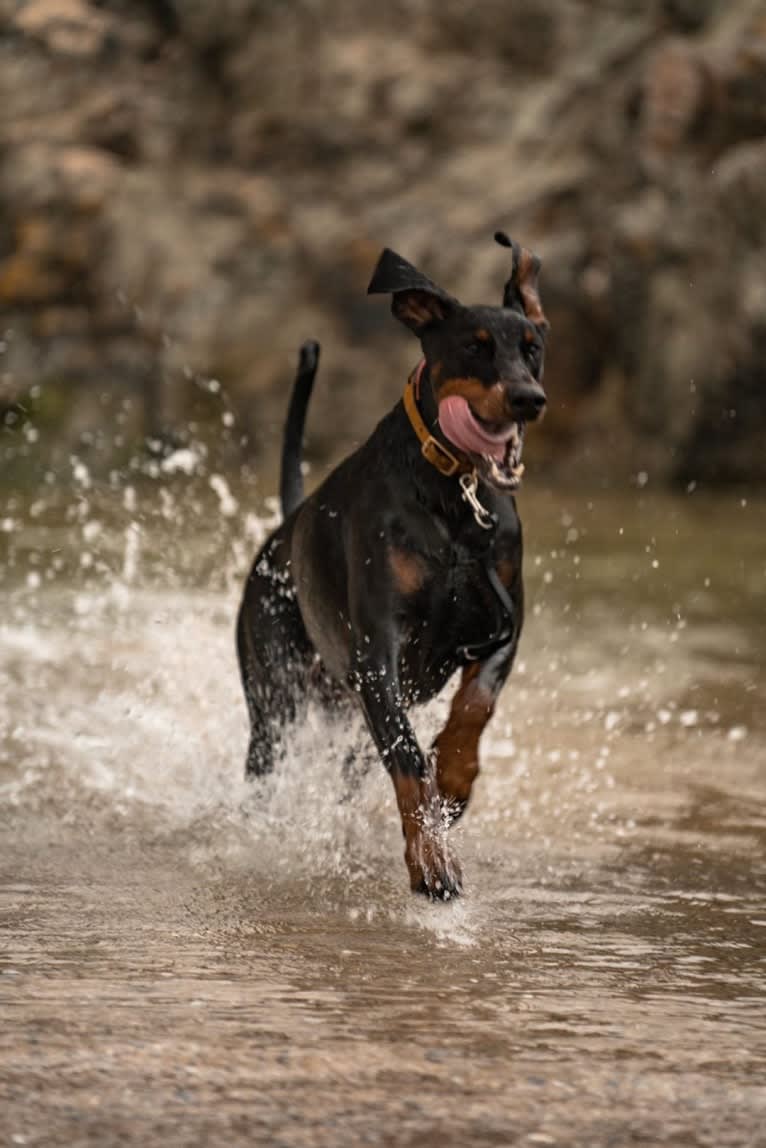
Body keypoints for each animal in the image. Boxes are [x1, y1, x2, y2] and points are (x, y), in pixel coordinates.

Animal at [236, 230, 548, 895]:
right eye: (474, 347)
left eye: (533, 349)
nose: (529, 400)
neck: (454, 495)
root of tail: (285, 528)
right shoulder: (377, 653)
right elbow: (407, 759)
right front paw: (431, 860)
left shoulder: (502, 624)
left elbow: (476, 707)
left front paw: (454, 780)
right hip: (276, 699)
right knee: (268, 762)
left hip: (350, 721)